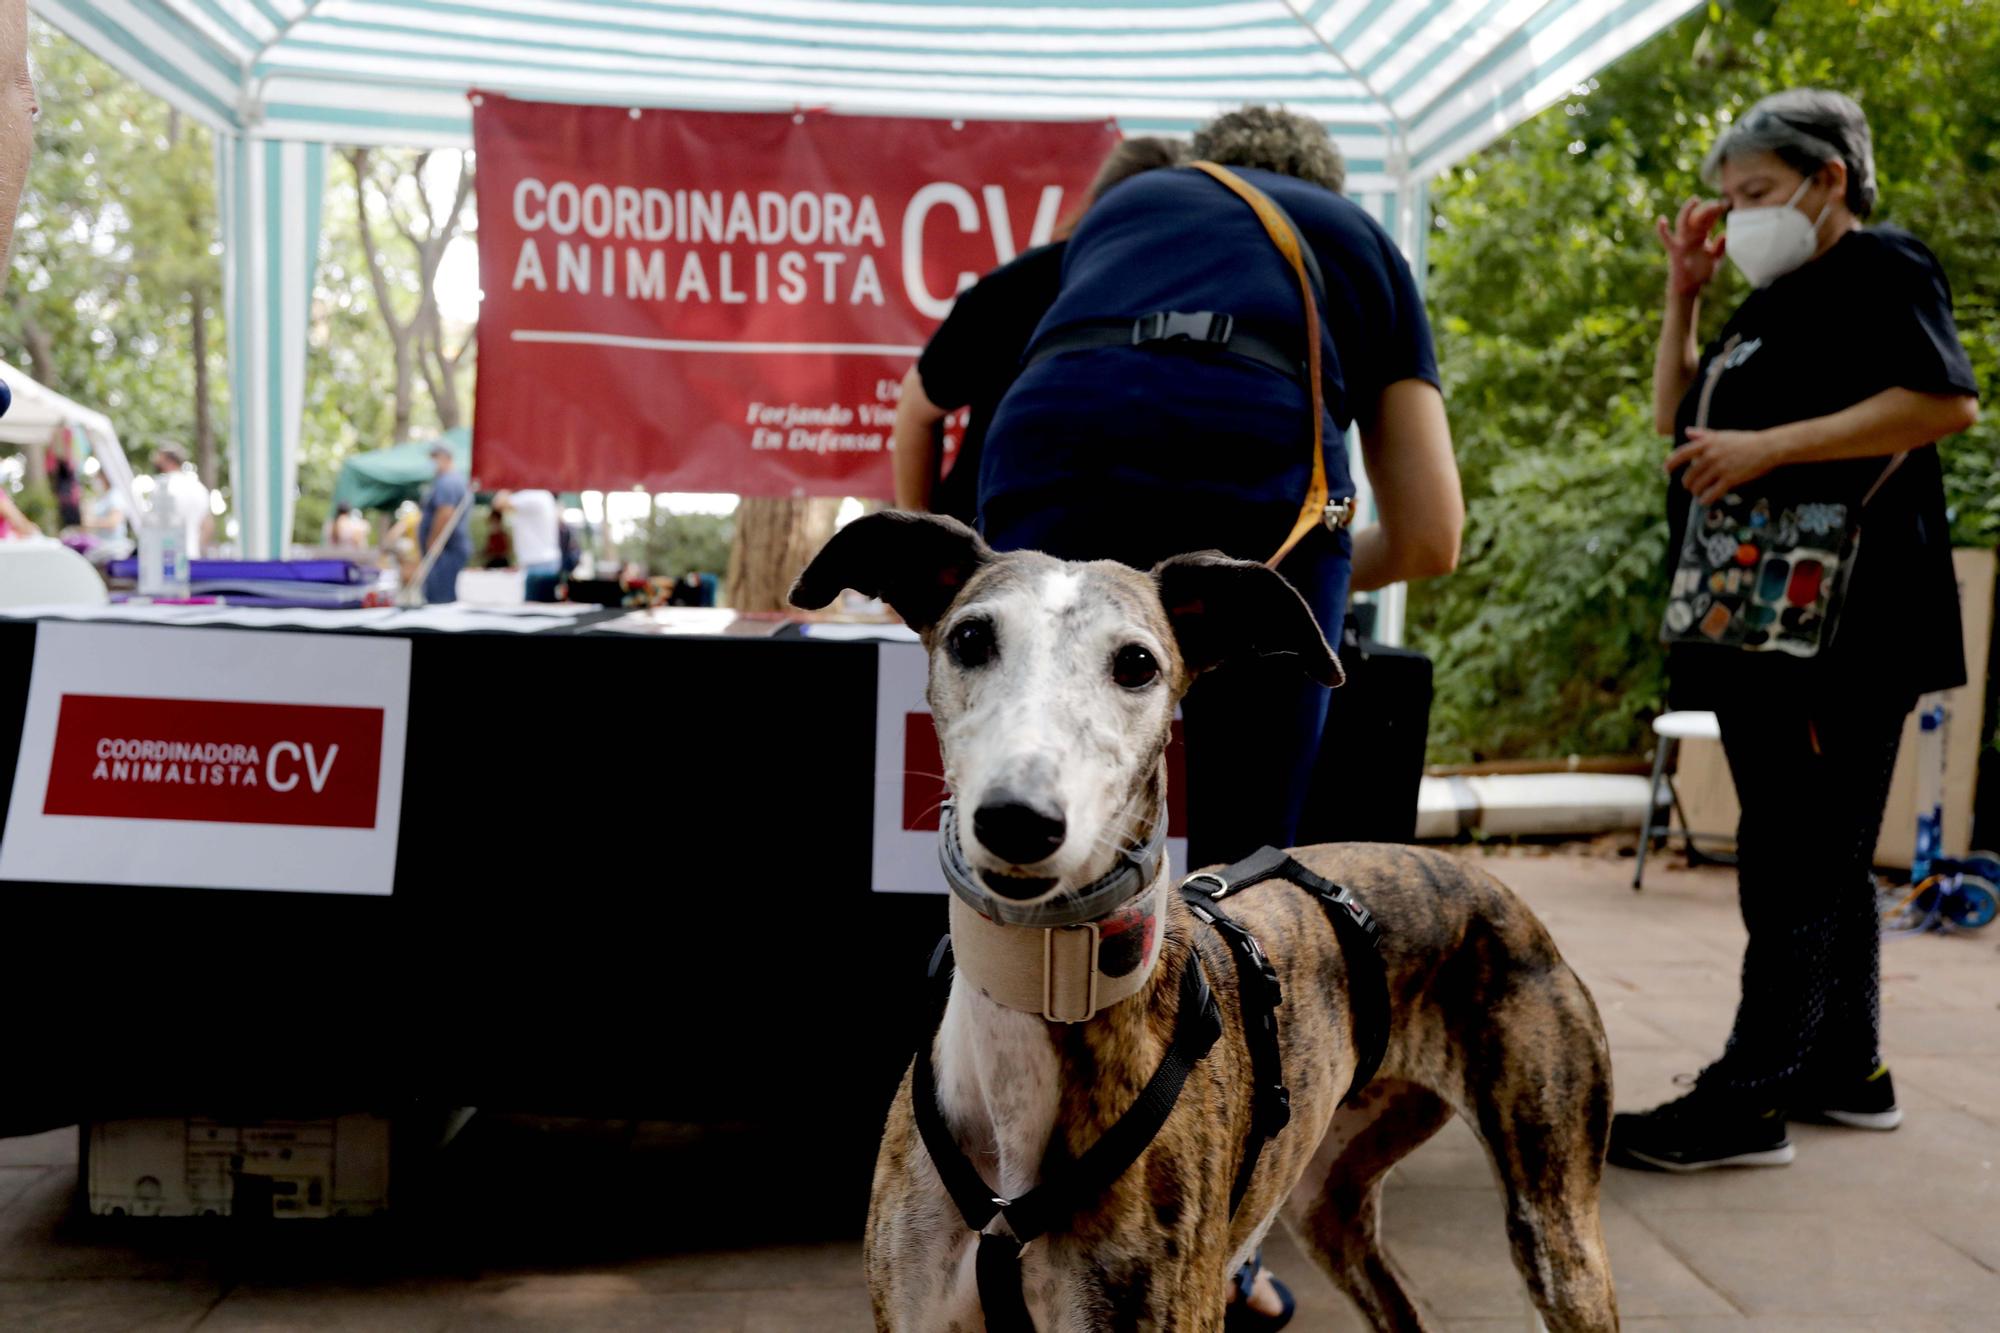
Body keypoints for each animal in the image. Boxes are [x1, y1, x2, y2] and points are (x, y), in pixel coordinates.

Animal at [788, 510, 1616, 1328]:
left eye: (1136, 663)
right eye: (969, 638)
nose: (1018, 820)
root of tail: (1491, 885)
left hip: (1557, 1227)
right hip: (1328, 1202)